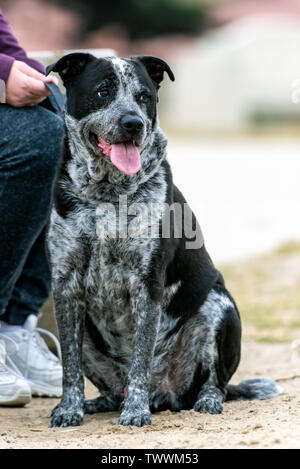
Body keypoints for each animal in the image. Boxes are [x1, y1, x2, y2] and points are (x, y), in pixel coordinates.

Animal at [45, 53, 280, 426]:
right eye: (103, 91)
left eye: (144, 96)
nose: (133, 123)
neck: (107, 195)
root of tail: (165, 395)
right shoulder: (66, 283)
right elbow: (70, 365)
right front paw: (69, 409)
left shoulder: (147, 282)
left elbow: (141, 355)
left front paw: (136, 411)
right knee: (110, 388)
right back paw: (101, 402)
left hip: (220, 307)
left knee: (215, 384)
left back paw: (204, 400)